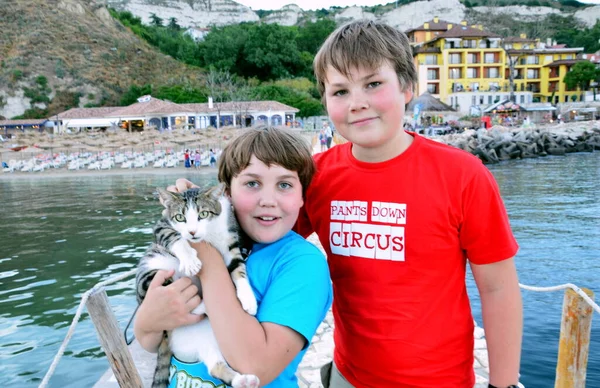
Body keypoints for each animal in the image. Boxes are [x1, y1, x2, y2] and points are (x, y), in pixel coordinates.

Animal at [137, 186, 258, 388]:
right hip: (149, 278)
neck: (209, 234)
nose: (192, 232)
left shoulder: (229, 238)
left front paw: (248, 298)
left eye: (203, 214)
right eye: (180, 217)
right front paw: (190, 260)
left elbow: (238, 267)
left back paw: (244, 380)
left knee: (214, 366)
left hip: (208, 340)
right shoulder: (162, 224)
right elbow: (174, 237)